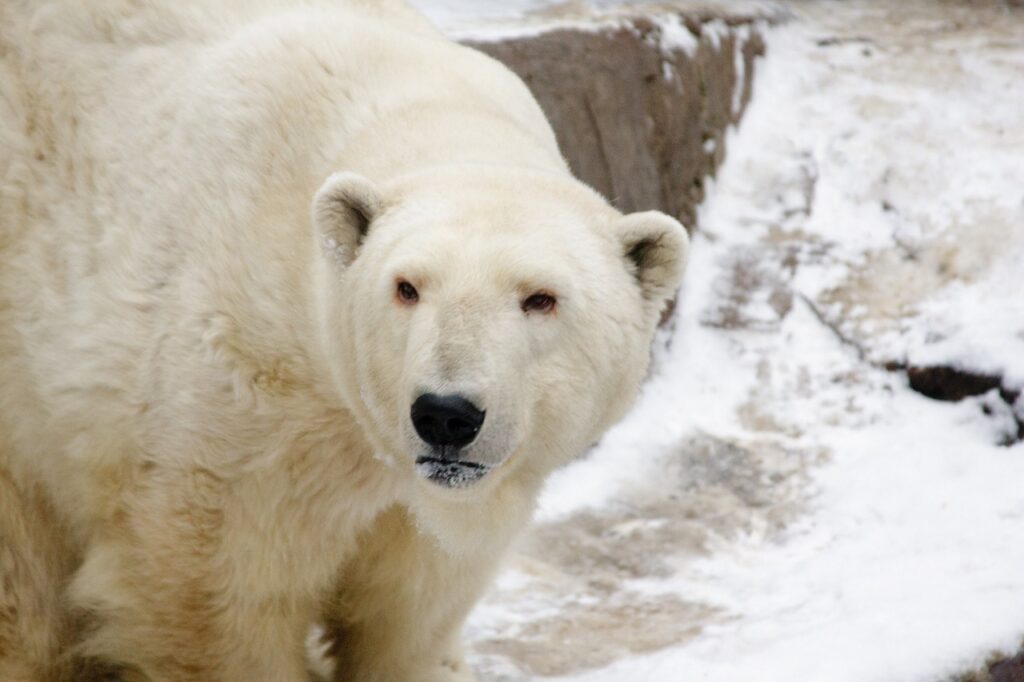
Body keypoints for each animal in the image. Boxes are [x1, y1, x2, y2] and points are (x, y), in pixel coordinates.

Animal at [0, 1, 689, 680]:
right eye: (407, 287)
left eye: (540, 298)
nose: (445, 414)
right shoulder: (240, 419)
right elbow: (217, 602)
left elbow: (411, 615)